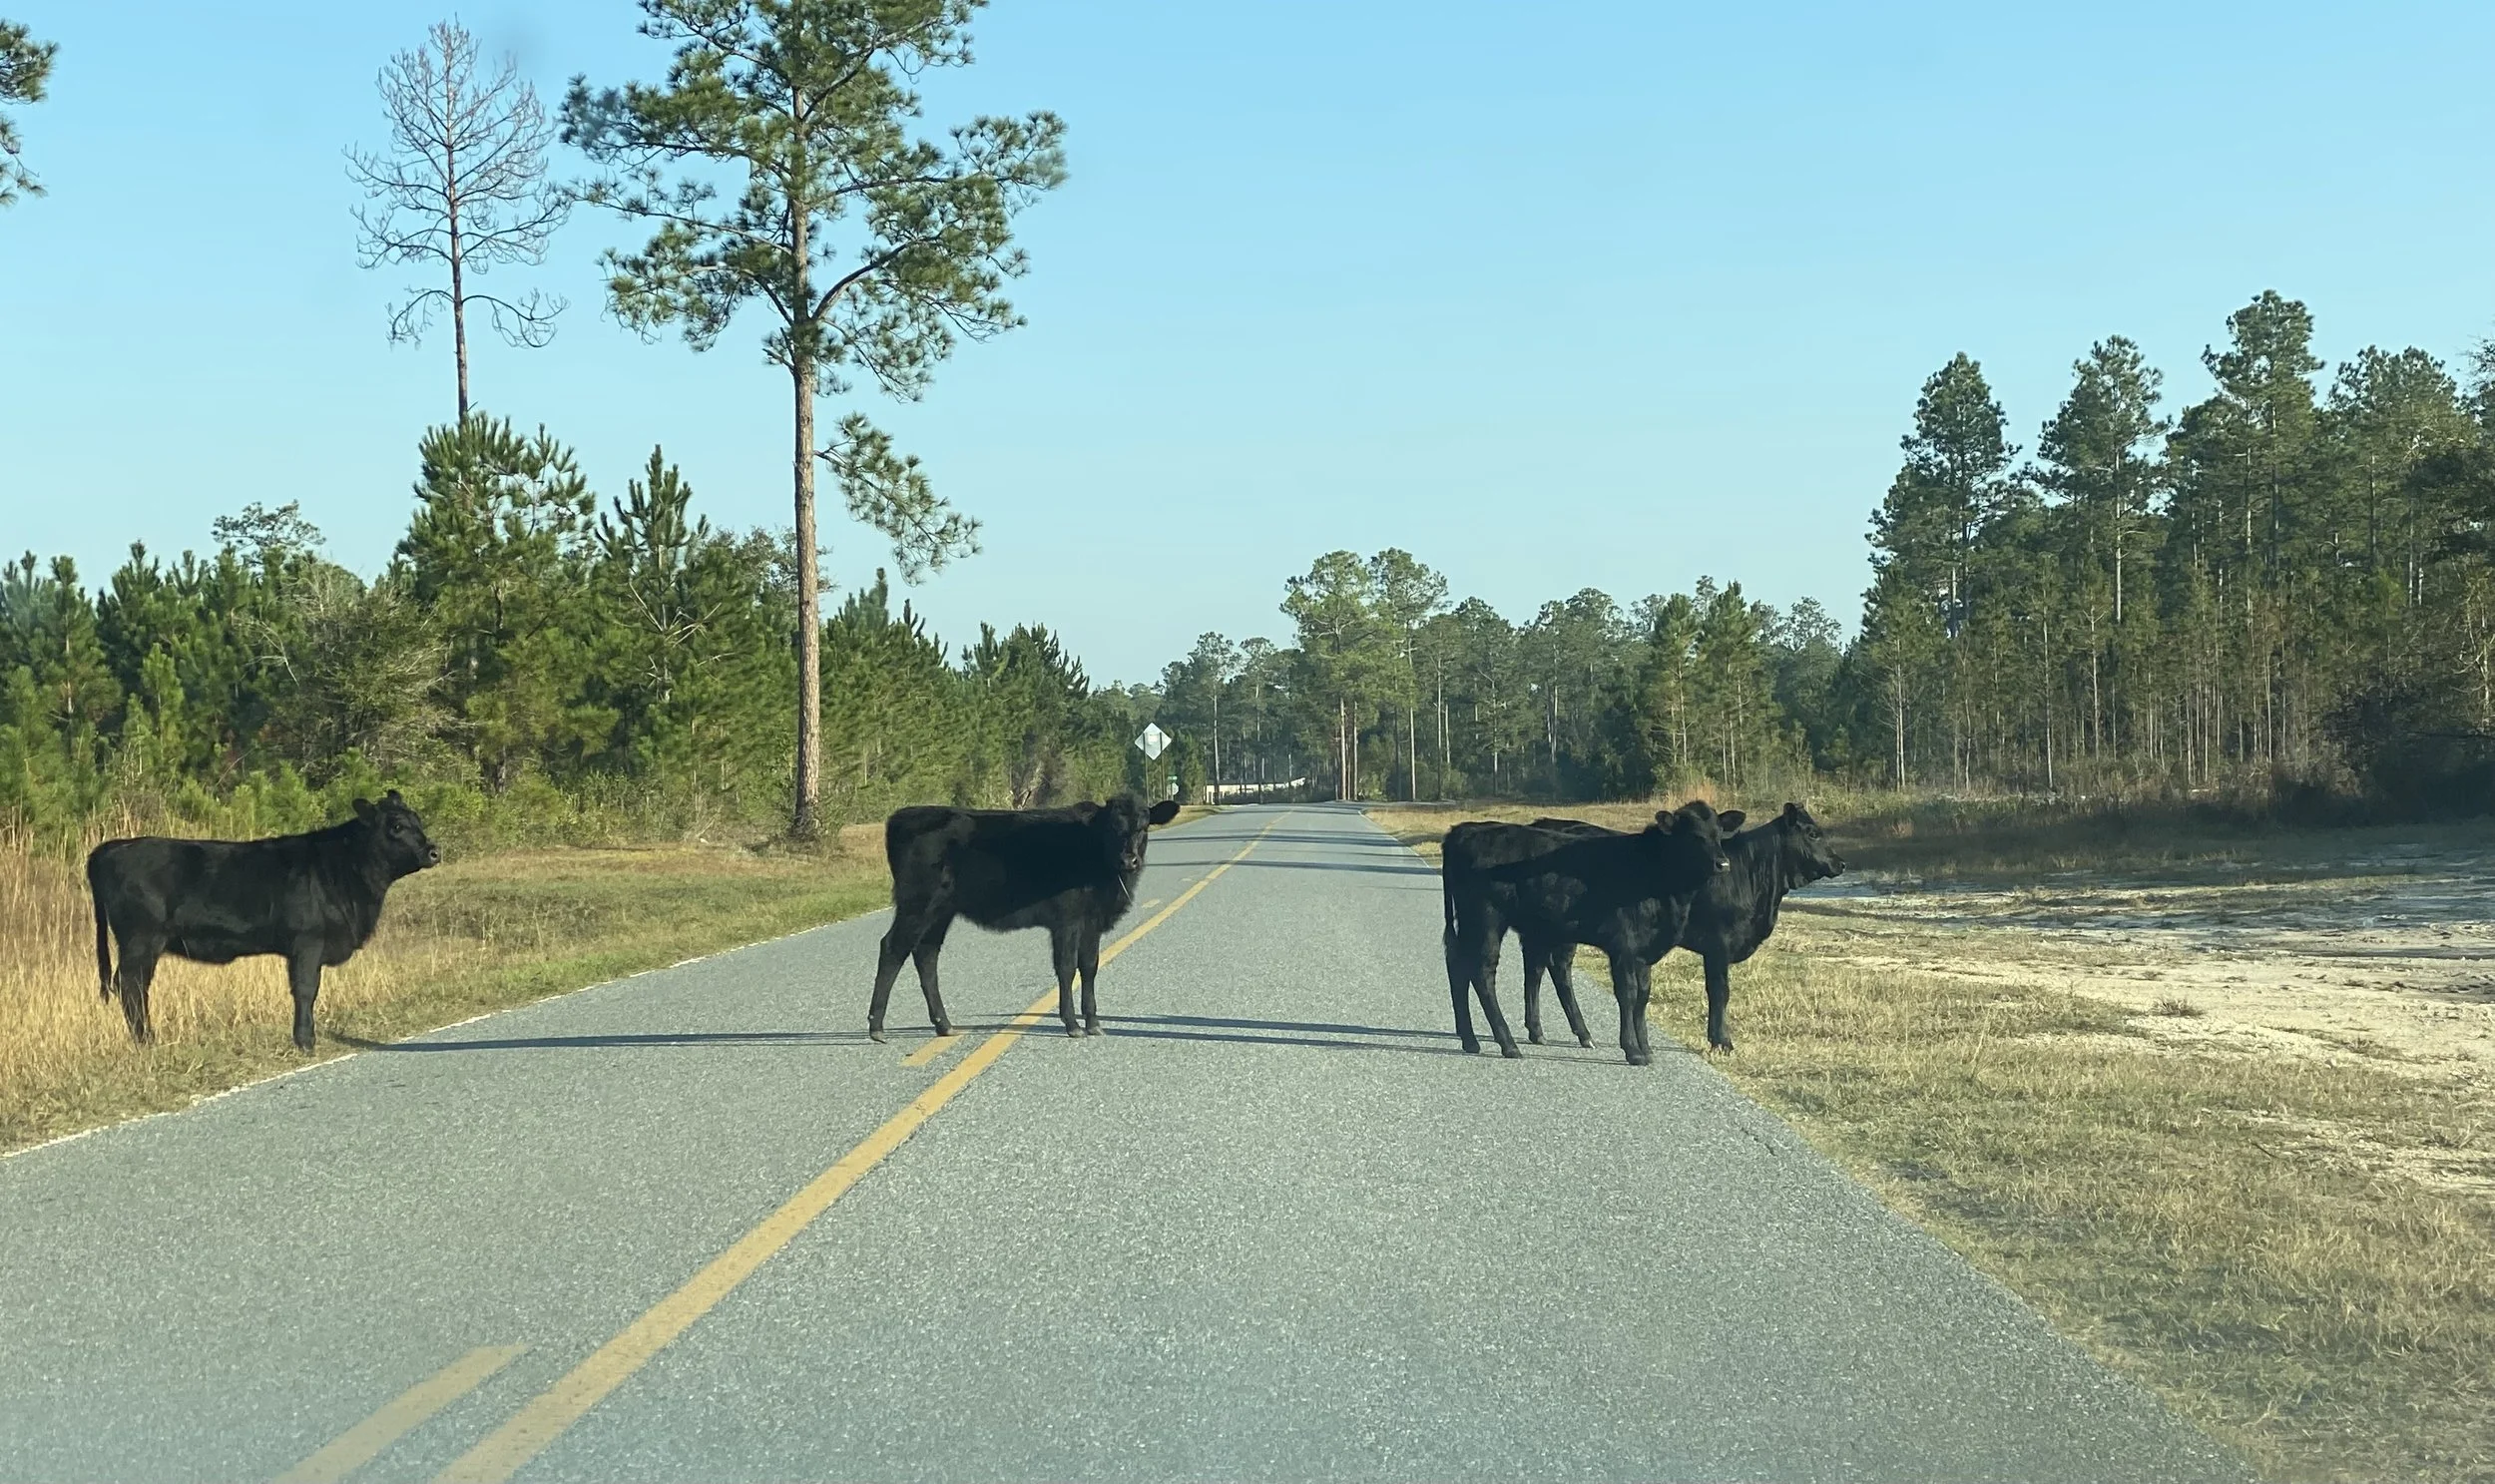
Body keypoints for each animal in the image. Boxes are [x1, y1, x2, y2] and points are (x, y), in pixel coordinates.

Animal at [86, 790, 442, 1052]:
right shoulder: (308, 942)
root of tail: (112, 847)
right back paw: (147, 1041)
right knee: (132, 986)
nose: (433, 851)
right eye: (396, 826)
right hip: (141, 939)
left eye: (418, 820)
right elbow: (306, 989)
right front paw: (305, 1041)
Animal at [869, 794, 1184, 1044]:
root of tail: (904, 816)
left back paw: (944, 1025)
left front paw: (1094, 1023)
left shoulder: (1092, 922)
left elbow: (1089, 967)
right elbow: (1067, 968)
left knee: (926, 954)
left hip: (941, 912)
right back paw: (876, 1026)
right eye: (1112, 828)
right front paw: (1072, 1025)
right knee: (893, 948)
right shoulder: (1067, 921)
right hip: (917, 904)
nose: (1129, 860)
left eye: (1143, 826)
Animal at [1439, 801, 1738, 1065]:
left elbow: (1643, 995)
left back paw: (1470, 1040)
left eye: (1719, 834)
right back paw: (1508, 1044)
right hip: (1486, 920)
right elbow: (1628, 994)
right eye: (1694, 836)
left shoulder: (1644, 951)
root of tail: (1464, 830)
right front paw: (1633, 1050)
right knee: (1482, 972)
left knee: (1458, 967)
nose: (1723, 864)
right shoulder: (1624, 946)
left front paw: (1646, 1048)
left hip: (1470, 922)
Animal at [1519, 802, 1847, 1053]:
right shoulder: (1718, 944)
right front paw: (1722, 1042)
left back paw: (1551, 1031)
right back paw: (1577, 1033)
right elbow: (1720, 991)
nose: (1841, 863)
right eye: (1813, 834)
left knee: (1539, 967)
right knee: (1555, 968)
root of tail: (1545, 822)